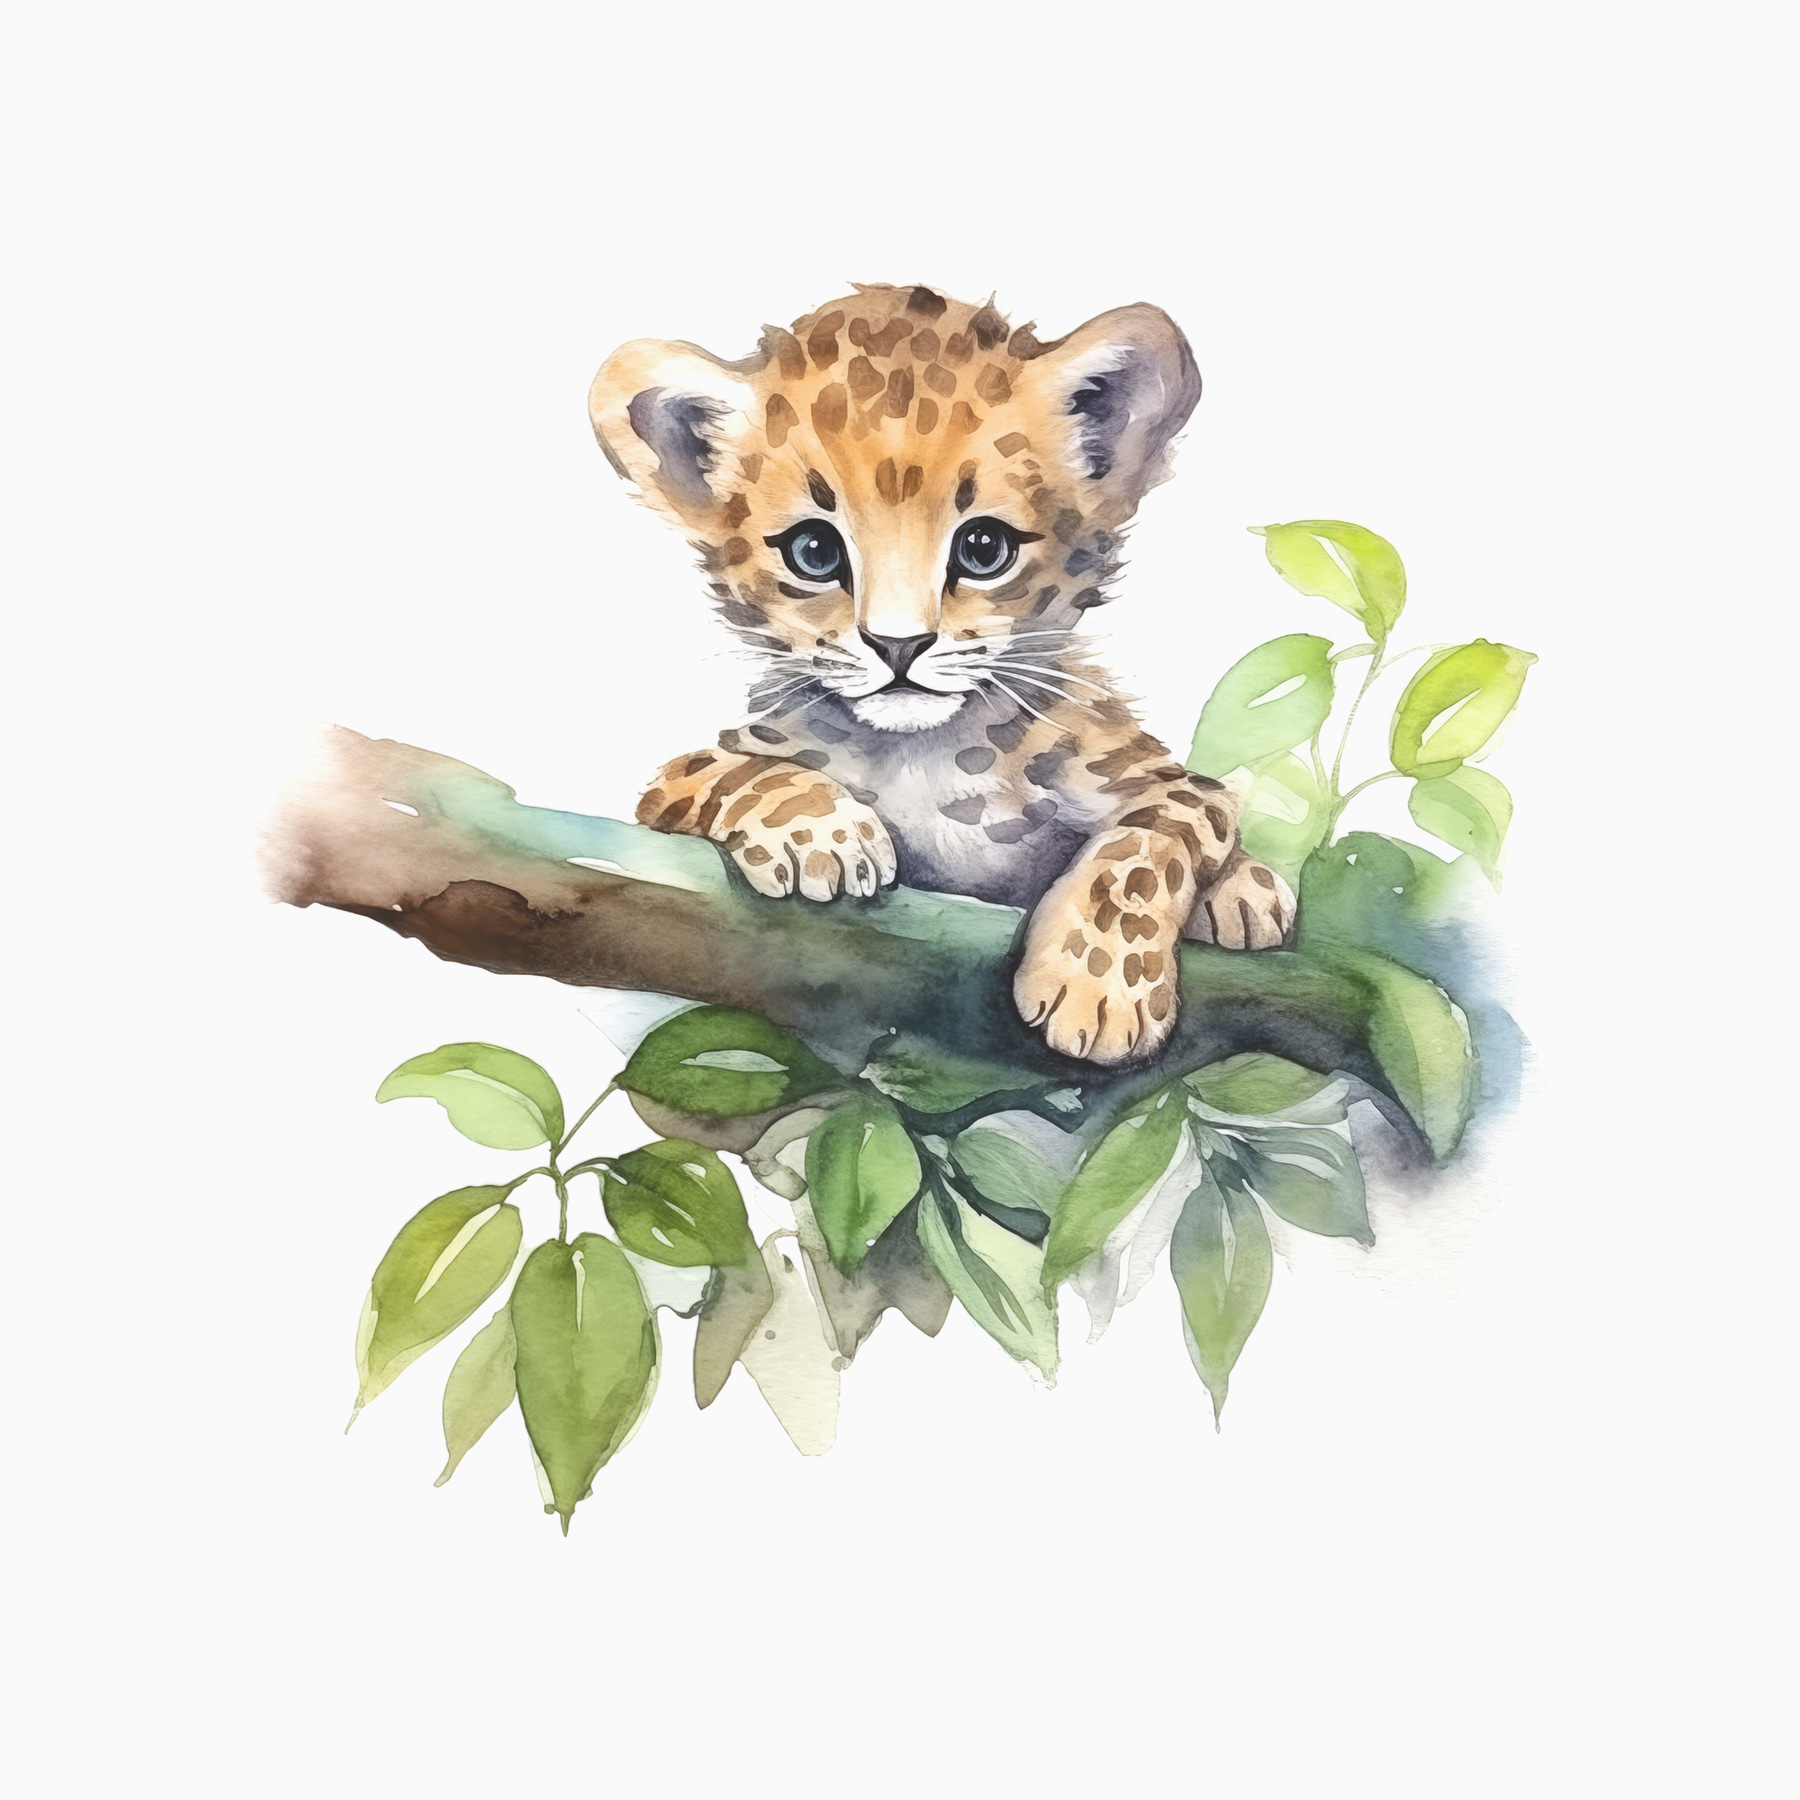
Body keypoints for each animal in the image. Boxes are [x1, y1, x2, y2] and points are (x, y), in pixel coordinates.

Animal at [588, 282, 1293, 1067]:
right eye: (813, 552)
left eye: (984, 548)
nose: (898, 645)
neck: (930, 753)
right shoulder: (679, 780)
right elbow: (739, 773)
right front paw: (825, 836)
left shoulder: (1163, 781)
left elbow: (1152, 839)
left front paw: (1100, 987)